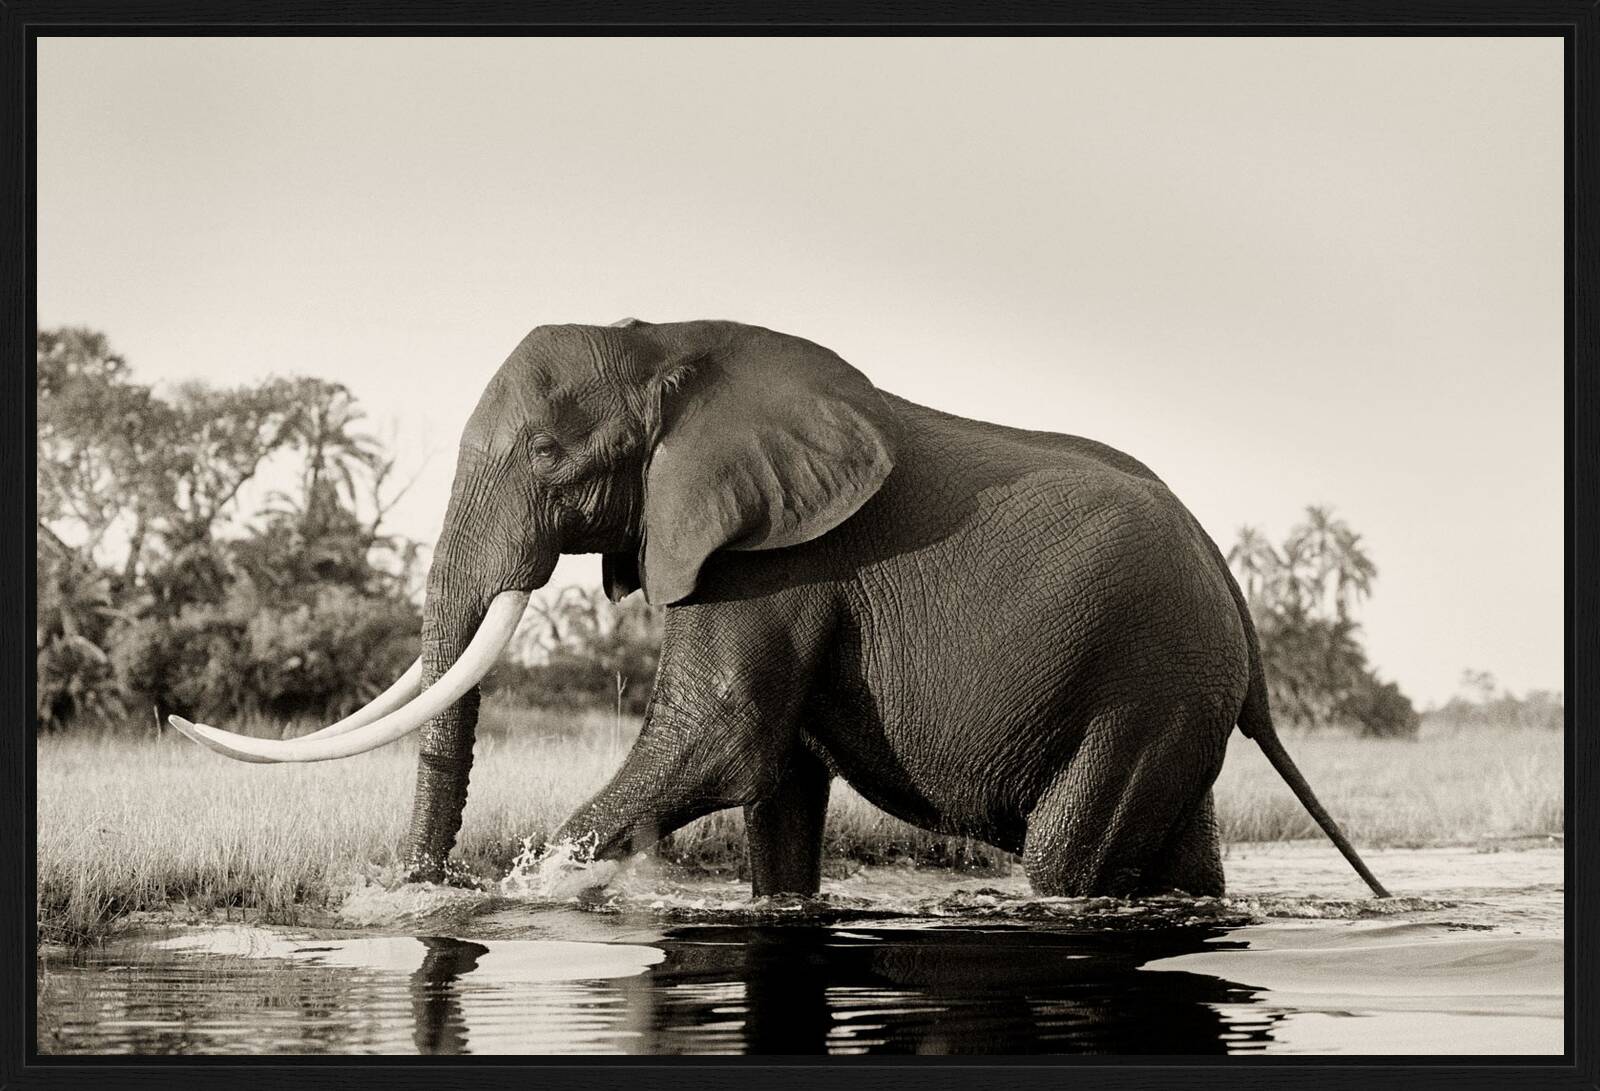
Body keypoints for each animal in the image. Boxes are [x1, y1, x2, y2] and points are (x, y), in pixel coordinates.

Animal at [171, 318, 1389, 901]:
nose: (418, 891)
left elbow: (719, 737)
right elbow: (778, 786)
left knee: (1062, 857)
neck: (665, 342)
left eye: (551, 456)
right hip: (1173, 695)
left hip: (1142, 682)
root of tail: (1244, 622)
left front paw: (537, 889)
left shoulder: (774, 559)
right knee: (1185, 860)